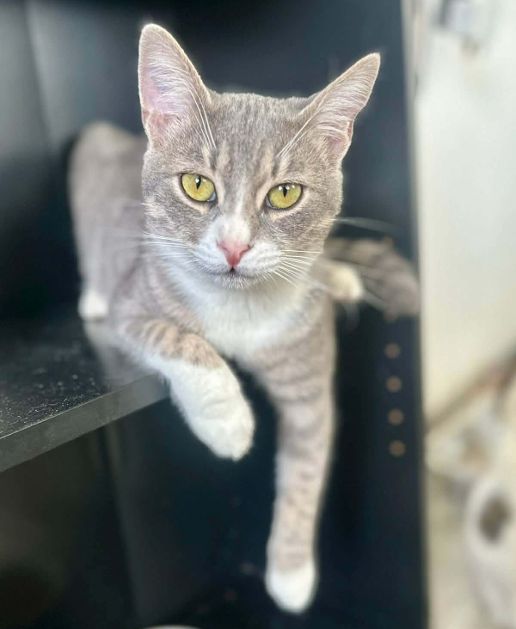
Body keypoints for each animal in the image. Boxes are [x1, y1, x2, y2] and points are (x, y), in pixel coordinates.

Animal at [70, 24, 418, 613]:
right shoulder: (134, 301)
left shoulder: (308, 371)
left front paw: (293, 573)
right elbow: (175, 338)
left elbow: (307, 470)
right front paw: (227, 421)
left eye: (285, 193)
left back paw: (340, 276)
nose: (234, 246)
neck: (239, 308)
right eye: (197, 185)